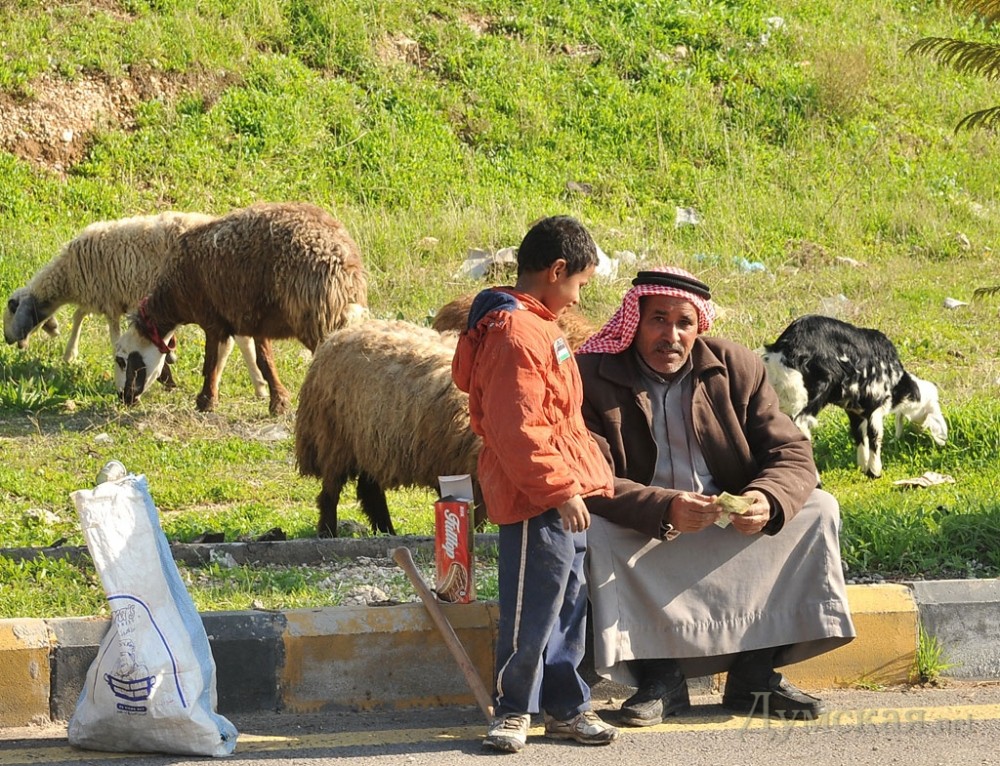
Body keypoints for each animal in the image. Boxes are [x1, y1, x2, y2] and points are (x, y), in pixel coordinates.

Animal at [3, 212, 267, 397]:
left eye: (10, 311)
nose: (6, 340)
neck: (68, 274)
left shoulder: (108, 300)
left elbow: (110, 335)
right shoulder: (102, 296)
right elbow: (79, 314)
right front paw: (69, 354)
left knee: (239, 341)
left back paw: (252, 384)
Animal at [114, 202, 368, 416]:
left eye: (121, 360)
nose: (123, 397)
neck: (174, 297)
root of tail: (342, 264)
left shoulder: (212, 319)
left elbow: (211, 361)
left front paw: (206, 401)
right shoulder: (254, 320)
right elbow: (264, 360)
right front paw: (278, 402)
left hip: (315, 318)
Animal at [295, 320, 483, 537]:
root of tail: (336, 336)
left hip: (369, 443)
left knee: (369, 491)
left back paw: (385, 530)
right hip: (335, 438)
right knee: (331, 491)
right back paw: (328, 531)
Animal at [761, 314, 947, 478]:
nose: (920, 433)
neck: (898, 382)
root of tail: (785, 350)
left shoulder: (853, 408)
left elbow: (859, 434)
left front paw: (863, 467)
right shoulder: (875, 402)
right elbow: (875, 435)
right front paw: (875, 471)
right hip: (814, 392)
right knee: (800, 424)